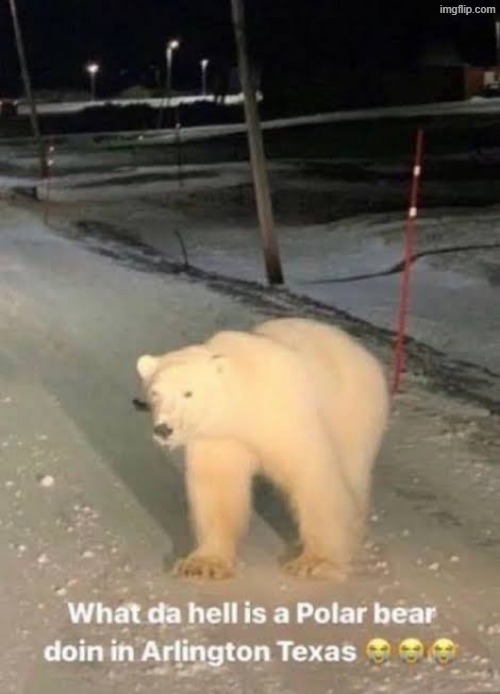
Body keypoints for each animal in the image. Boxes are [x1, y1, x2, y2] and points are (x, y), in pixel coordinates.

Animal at [136, 317, 389, 581]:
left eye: (188, 392)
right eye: (155, 393)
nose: (163, 429)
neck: (245, 399)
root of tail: (359, 350)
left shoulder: (283, 413)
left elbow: (312, 476)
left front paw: (314, 563)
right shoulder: (220, 437)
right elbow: (218, 487)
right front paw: (204, 564)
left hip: (353, 409)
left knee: (352, 472)